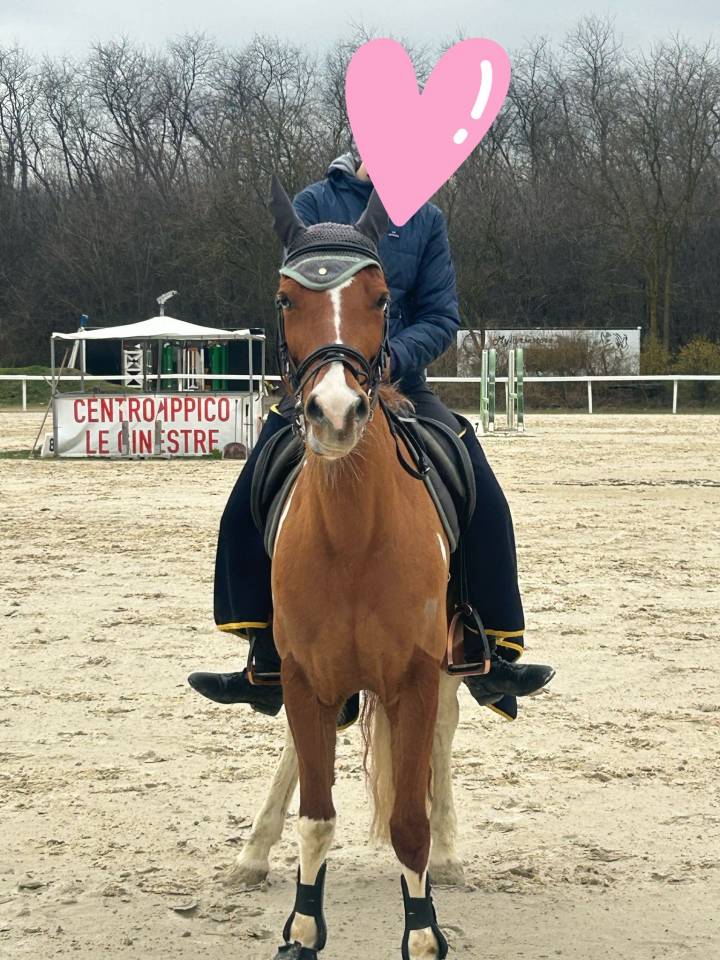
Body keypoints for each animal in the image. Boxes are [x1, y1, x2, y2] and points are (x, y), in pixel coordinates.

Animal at [237, 177, 465, 960]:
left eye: (381, 297)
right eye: (284, 299)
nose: (335, 412)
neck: (354, 538)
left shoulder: (416, 678)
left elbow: (408, 822)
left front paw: (423, 934)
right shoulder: (305, 678)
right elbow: (318, 816)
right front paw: (304, 926)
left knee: (441, 745)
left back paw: (450, 855)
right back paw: (253, 851)